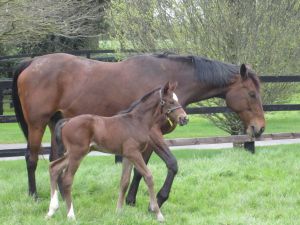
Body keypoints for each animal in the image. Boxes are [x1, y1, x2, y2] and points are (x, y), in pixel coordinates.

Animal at [45, 82, 188, 221]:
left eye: (177, 100)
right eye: (171, 101)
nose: (184, 118)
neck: (137, 122)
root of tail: (67, 121)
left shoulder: (127, 156)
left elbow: (124, 182)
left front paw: (118, 212)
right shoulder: (134, 153)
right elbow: (148, 177)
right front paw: (157, 213)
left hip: (74, 153)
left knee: (54, 167)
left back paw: (51, 211)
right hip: (77, 154)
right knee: (67, 179)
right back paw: (71, 215)